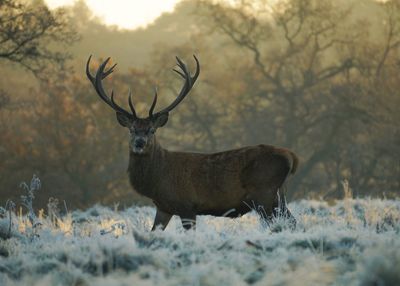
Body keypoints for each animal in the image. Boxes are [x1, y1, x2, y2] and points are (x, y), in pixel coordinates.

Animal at [86, 54, 298, 231]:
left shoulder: (187, 205)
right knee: (293, 221)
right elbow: (154, 231)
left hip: (264, 194)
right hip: (279, 196)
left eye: (152, 130)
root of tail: (291, 156)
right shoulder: (163, 207)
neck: (157, 180)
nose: (139, 143)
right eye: (131, 129)